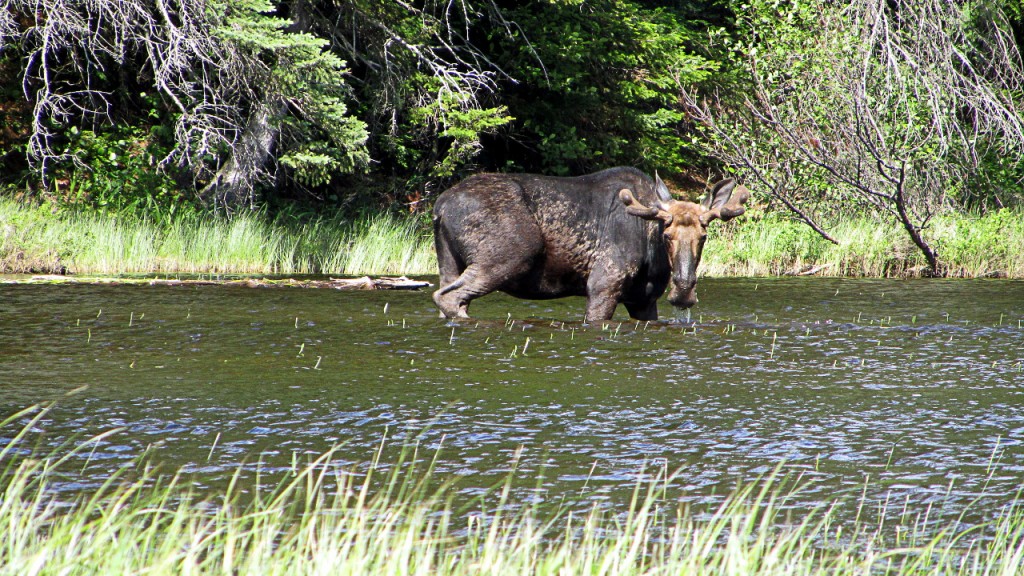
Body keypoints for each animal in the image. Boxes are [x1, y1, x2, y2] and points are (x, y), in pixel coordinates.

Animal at [432, 166, 753, 319]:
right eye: (666, 235)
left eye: (704, 236)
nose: (684, 291)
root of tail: (440, 207)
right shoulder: (602, 285)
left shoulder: (644, 300)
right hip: (507, 257)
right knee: (448, 297)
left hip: (448, 262)